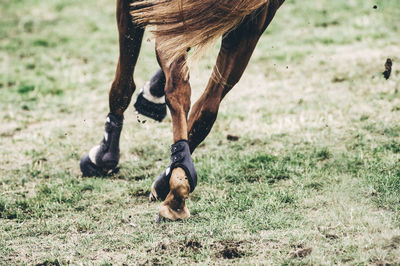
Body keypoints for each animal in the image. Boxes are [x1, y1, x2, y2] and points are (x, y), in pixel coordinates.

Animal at [79, 0, 284, 220]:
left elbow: (123, 82)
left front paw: (103, 155)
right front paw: (152, 93)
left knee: (179, 91)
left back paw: (176, 190)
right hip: (251, 27)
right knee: (207, 107)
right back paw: (170, 181)